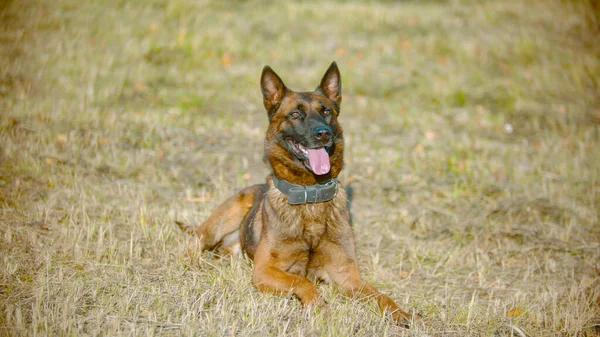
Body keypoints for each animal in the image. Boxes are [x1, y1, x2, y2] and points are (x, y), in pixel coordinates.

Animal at [177, 61, 412, 324]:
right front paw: (318, 305)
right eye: (296, 114)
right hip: (220, 222)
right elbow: (302, 281)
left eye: (326, 112)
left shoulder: (346, 275)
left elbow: (378, 294)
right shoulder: (264, 271)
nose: (323, 133)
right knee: (194, 243)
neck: (310, 195)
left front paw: (399, 312)